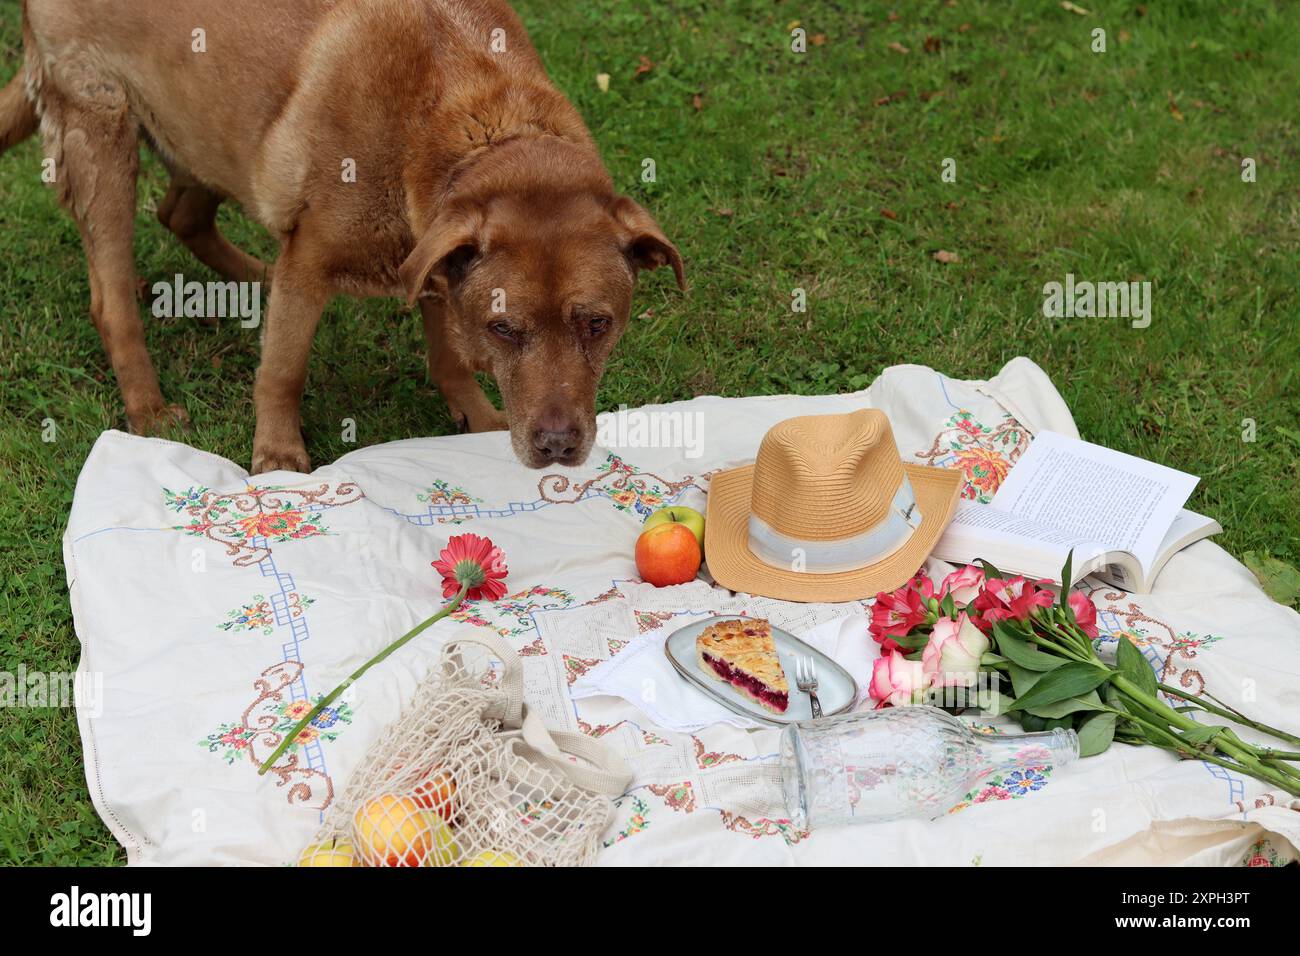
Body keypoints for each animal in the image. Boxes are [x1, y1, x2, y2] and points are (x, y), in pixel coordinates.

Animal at [0, 0, 686, 470]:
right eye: (504, 329)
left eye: (597, 324)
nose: (557, 446)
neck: (473, 119)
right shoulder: (316, 258)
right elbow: (284, 369)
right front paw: (278, 459)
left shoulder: (431, 256)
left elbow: (446, 353)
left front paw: (476, 416)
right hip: (103, 132)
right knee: (113, 297)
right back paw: (147, 406)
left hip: (207, 131)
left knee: (180, 214)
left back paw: (253, 279)